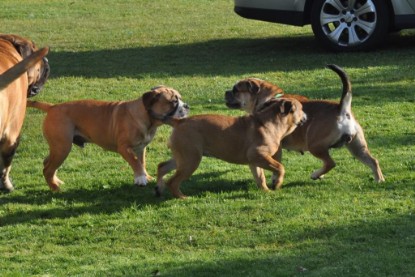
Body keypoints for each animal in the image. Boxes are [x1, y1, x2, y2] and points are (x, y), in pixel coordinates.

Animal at [26, 85, 188, 190]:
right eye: (173, 102)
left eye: (180, 99)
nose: (186, 105)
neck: (146, 118)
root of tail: (52, 107)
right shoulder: (124, 148)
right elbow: (135, 162)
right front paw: (141, 179)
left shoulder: (141, 148)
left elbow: (142, 163)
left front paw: (145, 176)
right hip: (63, 147)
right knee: (48, 169)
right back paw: (55, 189)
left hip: (58, 147)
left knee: (47, 163)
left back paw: (56, 181)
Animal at [226, 63, 386, 182]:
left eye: (236, 90)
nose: (226, 91)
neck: (269, 99)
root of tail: (342, 109)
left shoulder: (277, 146)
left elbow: (276, 162)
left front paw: (274, 177)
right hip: (357, 147)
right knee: (373, 161)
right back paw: (379, 180)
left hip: (315, 145)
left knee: (330, 162)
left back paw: (316, 174)